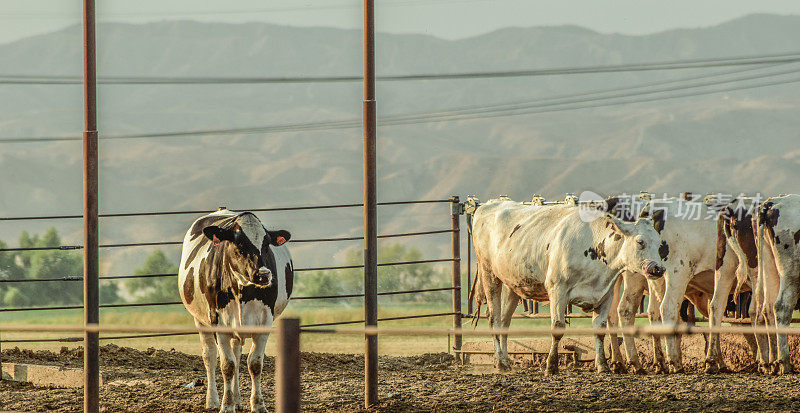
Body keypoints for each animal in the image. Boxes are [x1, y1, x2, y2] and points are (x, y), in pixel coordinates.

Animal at [178, 209, 294, 412]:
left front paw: (258, 405)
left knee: (238, 355)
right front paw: (226, 405)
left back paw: (238, 400)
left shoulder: (264, 323)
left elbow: (254, 363)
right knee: (210, 356)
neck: (243, 289)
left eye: (266, 244)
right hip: (201, 321)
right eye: (239, 243)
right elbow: (227, 365)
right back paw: (213, 400)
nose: (264, 274)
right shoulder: (219, 324)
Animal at [472, 196, 664, 374]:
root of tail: (489, 204)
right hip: (488, 273)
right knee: (494, 318)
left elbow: (600, 329)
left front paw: (602, 366)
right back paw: (500, 362)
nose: (658, 268)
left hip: (513, 284)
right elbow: (557, 327)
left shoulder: (605, 294)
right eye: (640, 241)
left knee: (504, 321)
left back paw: (504, 361)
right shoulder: (558, 289)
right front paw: (551, 366)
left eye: (659, 242)